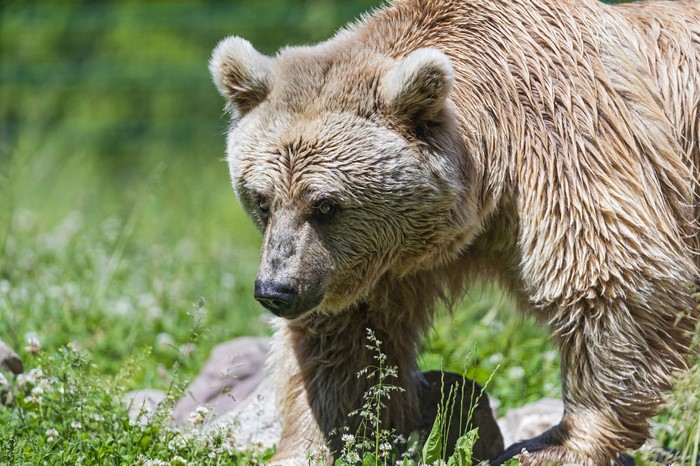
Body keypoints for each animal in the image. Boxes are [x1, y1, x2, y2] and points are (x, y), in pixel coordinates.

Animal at [209, 0, 700, 464]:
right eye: (262, 200)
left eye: (326, 205)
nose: (276, 290)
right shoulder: (382, 260)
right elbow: (348, 341)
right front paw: (316, 443)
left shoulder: (572, 142)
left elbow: (612, 278)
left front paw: (556, 444)